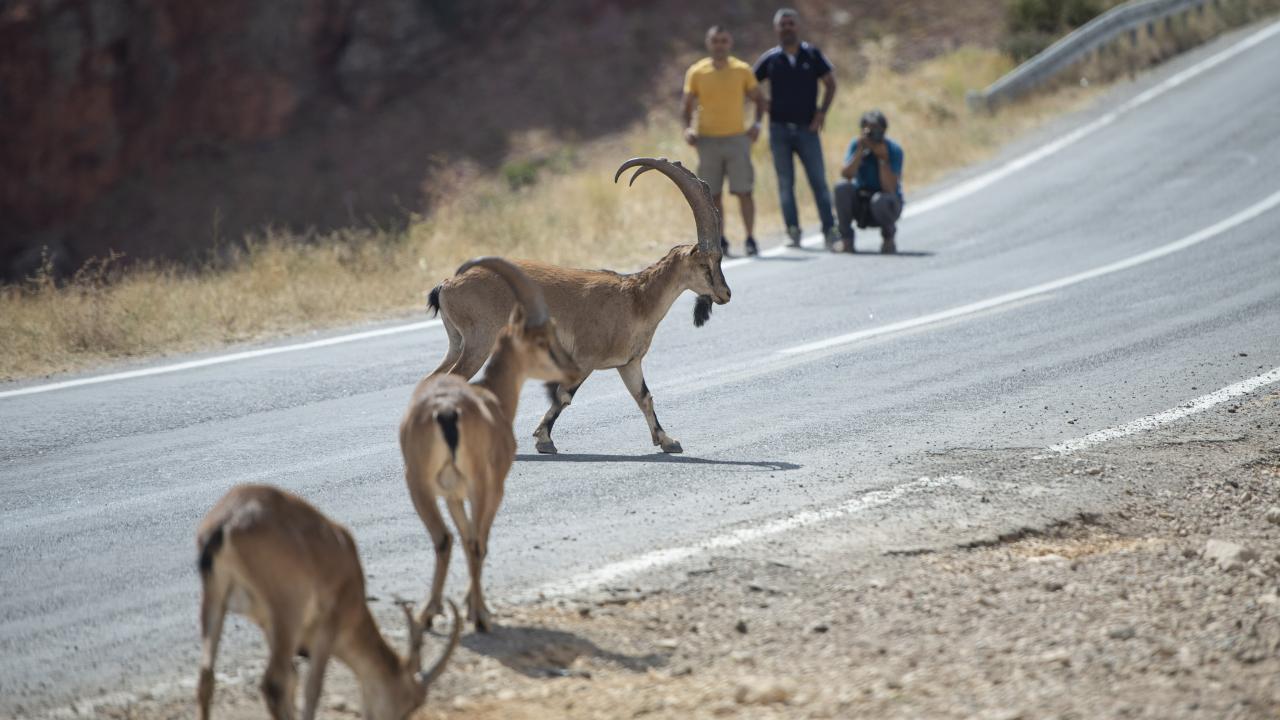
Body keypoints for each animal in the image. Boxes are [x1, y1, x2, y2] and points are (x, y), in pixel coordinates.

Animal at [194, 481, 460, 717]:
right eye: (409, 704)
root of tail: (226, 523)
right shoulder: (327, 625)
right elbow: (312, 688)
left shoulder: (269, 625)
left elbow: (294, 680)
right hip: (288, 609)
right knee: (274, 684)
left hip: (216, 598)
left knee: (207, 679)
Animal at [401, 256, 583, 627]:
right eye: (544, 340)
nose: (572, 371)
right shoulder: (490, 487)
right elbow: (480, 540)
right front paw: (476, 607)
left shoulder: (455, 495)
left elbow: (467, 536)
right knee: (471, 542)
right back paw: (475, 614)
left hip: (422, 485)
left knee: (444, 539)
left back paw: (431, 611)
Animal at [427, 155, 732, 453]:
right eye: (706, 263)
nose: (725, 294)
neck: (635, 300)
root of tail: (446, 285)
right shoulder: (584, 357)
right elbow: (564, 395)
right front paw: (544, 440)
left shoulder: (629, 363)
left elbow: (643, 396)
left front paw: (668, 440)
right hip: (480, 341)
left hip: (458, 343)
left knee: (434, 379)